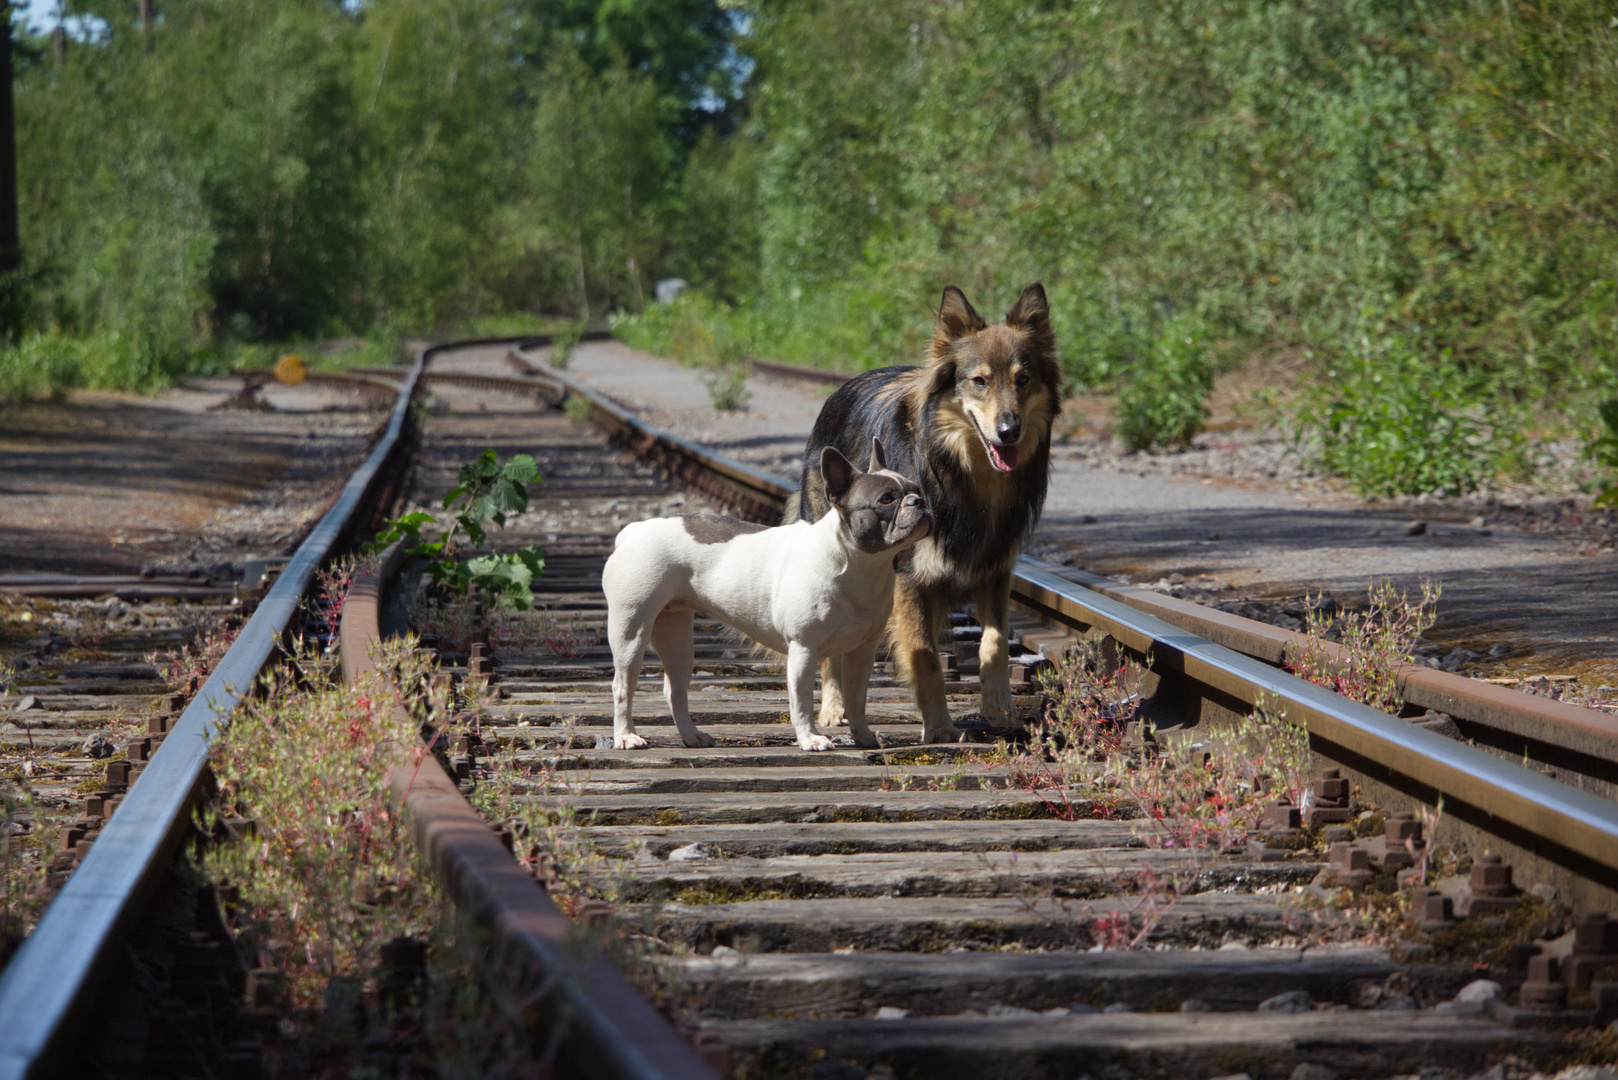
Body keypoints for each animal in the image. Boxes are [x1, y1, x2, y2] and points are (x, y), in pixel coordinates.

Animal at [601, 440, 931, 751]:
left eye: (916, 490)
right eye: (886, 499)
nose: (919, 501)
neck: (859, 564)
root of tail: (631, 532)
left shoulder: (862, 651)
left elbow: (857, 699)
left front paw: (863, 735)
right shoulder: (803, 648)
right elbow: (802, 701)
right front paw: (810, 739)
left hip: (675, 634)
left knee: (675, 688)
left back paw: (692, 736)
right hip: (631, 630)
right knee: (622, 685)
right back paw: (626, 736)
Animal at [786, 283, 1061, 748]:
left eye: (1023, 380)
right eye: (979, 381)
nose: (1009, 432)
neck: (965, 475)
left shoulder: (994, 571)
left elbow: (994, 643)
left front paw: (1000, 708)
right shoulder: (909, 580)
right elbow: (927, 658)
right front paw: (939, 727)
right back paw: (834, 708)